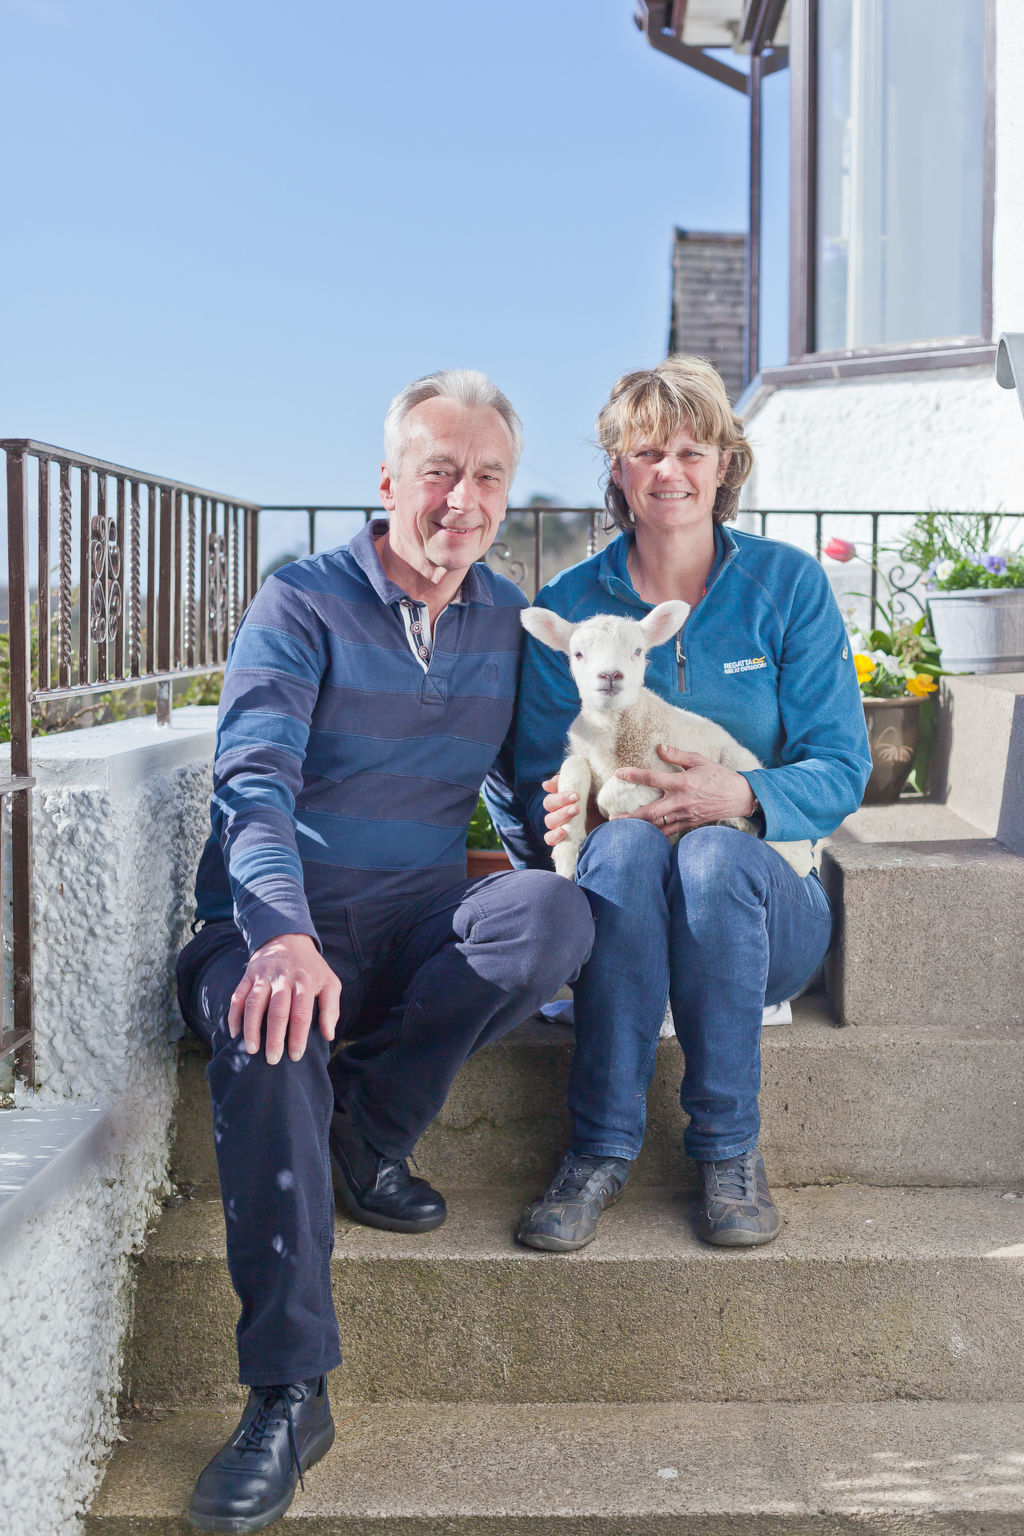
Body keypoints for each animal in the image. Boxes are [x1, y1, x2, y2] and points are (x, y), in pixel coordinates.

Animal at [521, 602, 816, 890]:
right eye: (578, 654)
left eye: (637, 651)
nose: (610, 675)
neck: (614, 732)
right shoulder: (583, 755)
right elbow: (572, 772)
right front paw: (566, 864)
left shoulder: (664, 776)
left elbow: (609, 797)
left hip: (739, 768)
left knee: (796, 856)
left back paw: (736, 824)